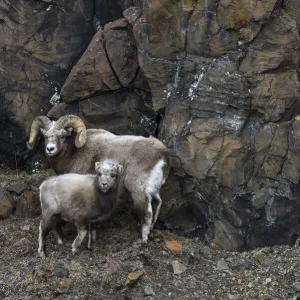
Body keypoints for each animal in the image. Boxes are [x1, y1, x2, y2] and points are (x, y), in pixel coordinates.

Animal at [27, 113, 170, 243]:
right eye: (45, 137)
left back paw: (143, 240)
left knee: (147, 214)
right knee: (157, 205)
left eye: (62, 136)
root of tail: (162, 154)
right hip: (154, 191)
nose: (50, 149)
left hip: (139, 192)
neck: (73, 154)